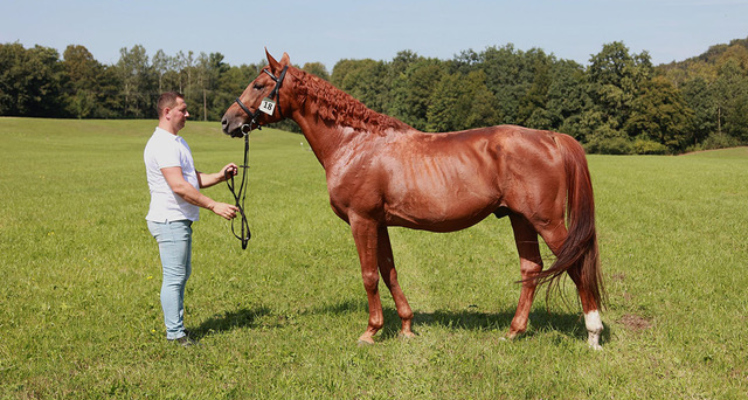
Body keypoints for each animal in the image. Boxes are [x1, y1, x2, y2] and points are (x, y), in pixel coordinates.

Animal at [219, 51, 604, 348]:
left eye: (259, 85)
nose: (226, 121)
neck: (354, 143)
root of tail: (550, 137)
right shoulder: (379, 223)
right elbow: (389, 271)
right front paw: (405, 327)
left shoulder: (361, 220)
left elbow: (369, 275)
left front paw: (370, 332)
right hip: (520, 218)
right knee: (531, 268)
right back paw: (513, 332)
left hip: (547, 222)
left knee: (576, 264)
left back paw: (593, 334)